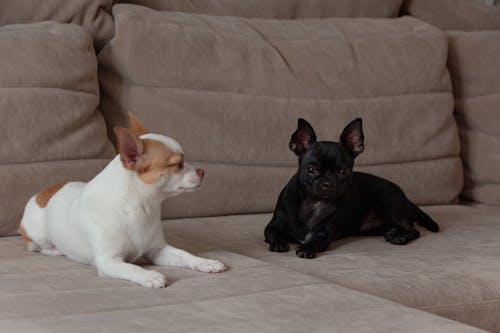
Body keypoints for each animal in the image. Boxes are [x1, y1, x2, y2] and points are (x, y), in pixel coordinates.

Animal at [19, 114, 226, 286]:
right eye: (179, 164)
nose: (202, 171)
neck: (141, 207)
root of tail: (43, 193)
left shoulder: (158, 250)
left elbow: (184, 254)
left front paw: (205, 262)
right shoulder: (109, 261)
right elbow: (132, 267)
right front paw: (149, 276)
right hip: (38, 235)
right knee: (35, 247)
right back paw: (55, 249)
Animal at [264, 118, 440, 258]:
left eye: (344, 171)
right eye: (310, 170)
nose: (328, 183)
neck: (313, 203)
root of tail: (406, 198)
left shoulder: (324, 233)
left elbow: (317, 240)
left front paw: (307, 248)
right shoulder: (273, 226)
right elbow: (273, 233)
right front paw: (279, 243)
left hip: (389, 203)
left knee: (414, 230)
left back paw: (400, 237)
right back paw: (393, 232)